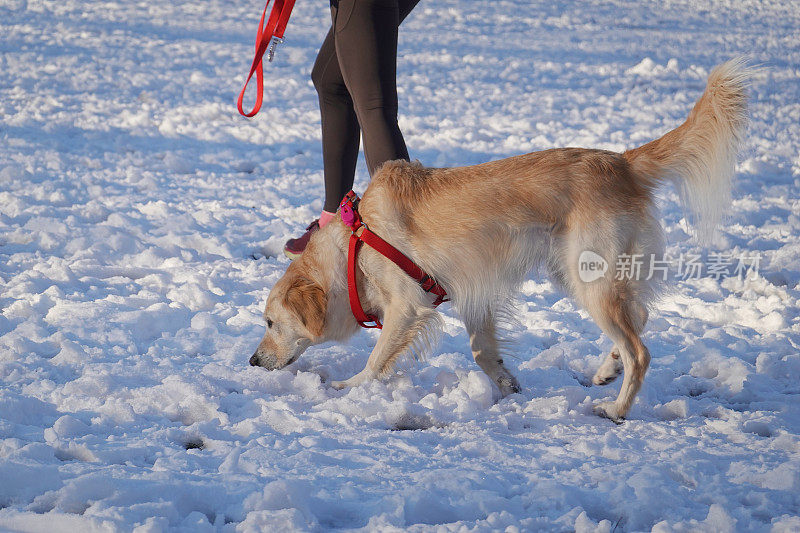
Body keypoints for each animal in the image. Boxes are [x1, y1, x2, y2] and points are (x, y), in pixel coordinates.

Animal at [248, 60, 752, 420]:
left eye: (271, 322)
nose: (253, 361)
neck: (355, 248)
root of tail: (622, 162)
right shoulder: (473, 293)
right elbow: (481, 350)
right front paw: (506, 384)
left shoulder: (408, 305)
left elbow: (376, 358)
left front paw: (350, 388)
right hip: (583, 274)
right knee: (639, 317)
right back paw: (607, 369)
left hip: (589, 277)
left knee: (640, 350)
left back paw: (616, 409)